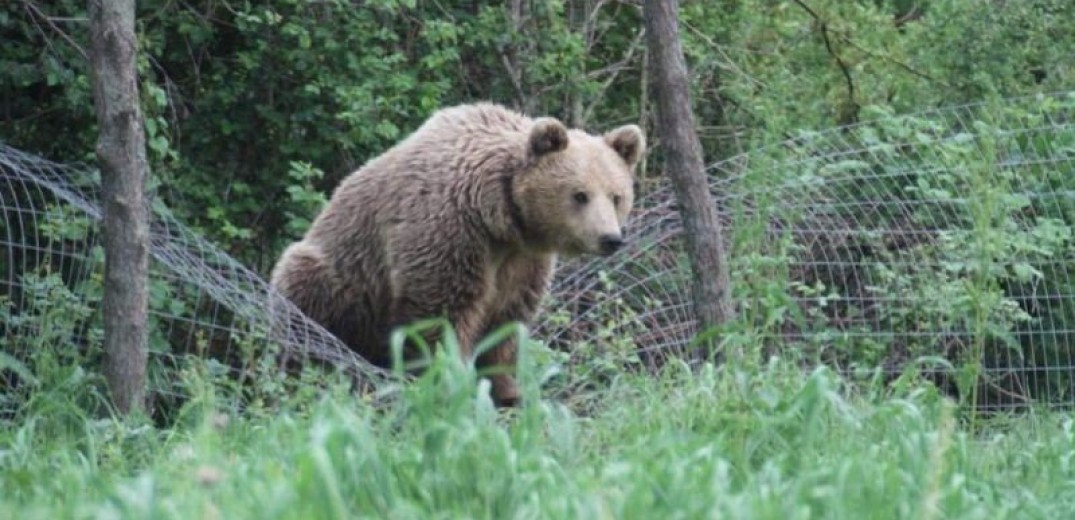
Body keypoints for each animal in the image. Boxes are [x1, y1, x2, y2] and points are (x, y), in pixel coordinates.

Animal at [268, 102, 645, 406]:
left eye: (616, 196)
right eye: (580, 195)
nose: (610, 238)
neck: (500, 218)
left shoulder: (523, 261)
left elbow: (506, 320)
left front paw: (508, 390)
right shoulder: (451, 230)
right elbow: (442, 314)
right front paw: (453, 381)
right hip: (340, 279)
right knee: (305, 302)